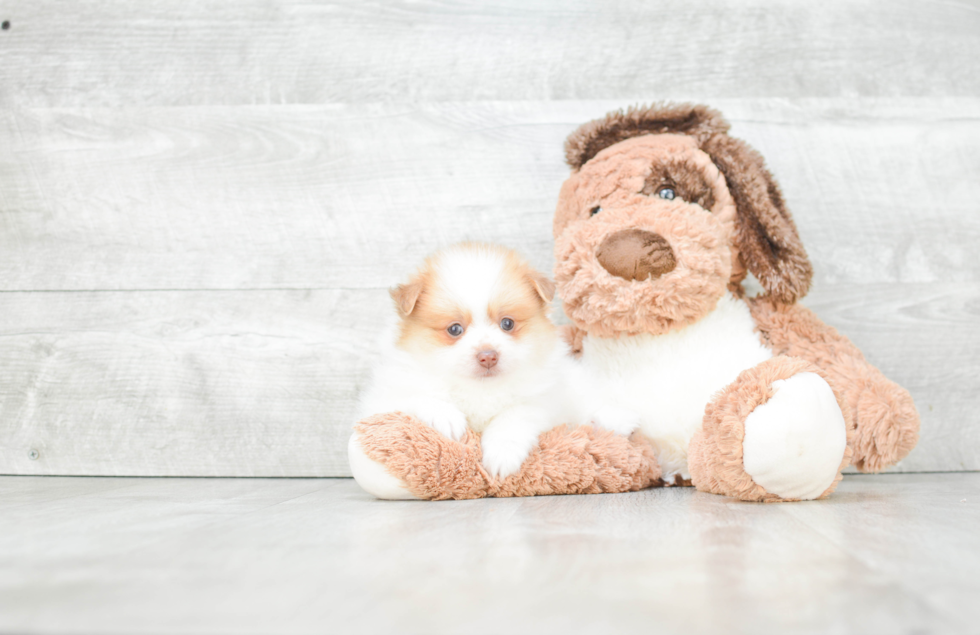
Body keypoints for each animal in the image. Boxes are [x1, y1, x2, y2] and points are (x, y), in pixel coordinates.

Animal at [358, 242, 576, 476]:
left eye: (507, 323)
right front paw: (446, 416)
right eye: (454, 329)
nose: (488, 356)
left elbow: (515, 415)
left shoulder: (546, 401)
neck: (478, 388)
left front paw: (502, 454)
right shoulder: (381, 400)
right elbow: (415, 397)